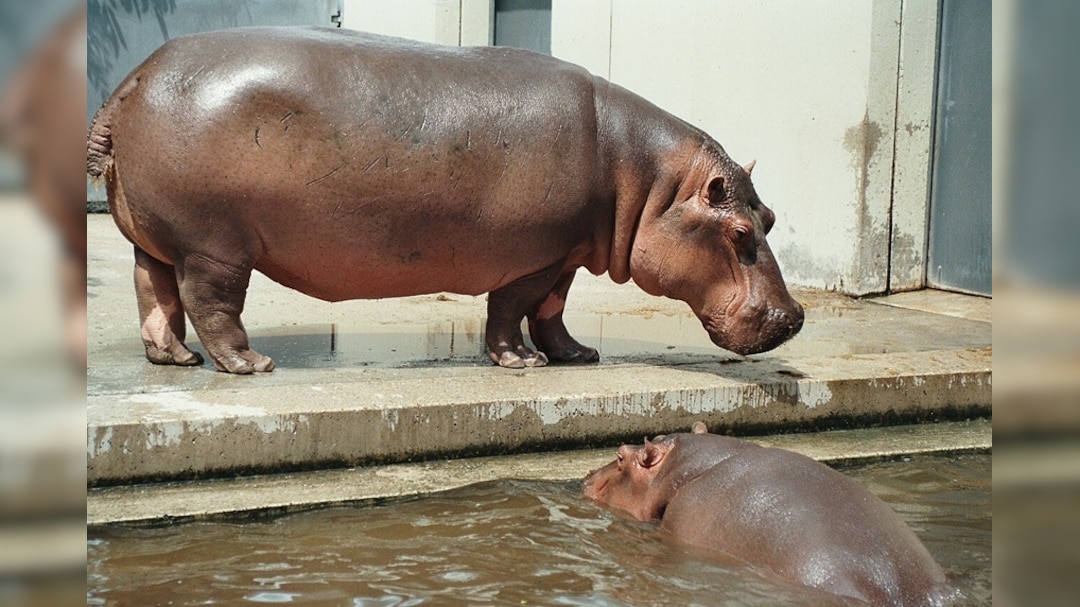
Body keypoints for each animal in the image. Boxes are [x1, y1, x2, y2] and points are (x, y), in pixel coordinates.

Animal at [86, 26, 803, 374]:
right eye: (741, 233)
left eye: (770, 217)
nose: (795, 318)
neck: (650, 184)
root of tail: (125, 86)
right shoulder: (533, 256)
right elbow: (512, 310)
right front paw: (522, 364)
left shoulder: (565, 254)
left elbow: (553, 310)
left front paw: (578, 356)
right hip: (214, 246)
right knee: (210, 303)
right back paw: (250, 365)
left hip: (153, 238)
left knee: (154, 295)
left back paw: (174, 359)